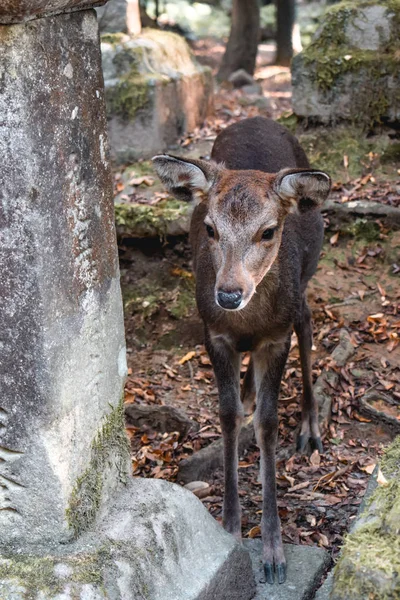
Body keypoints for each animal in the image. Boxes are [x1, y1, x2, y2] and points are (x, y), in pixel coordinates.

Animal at [152, 117, 330, 584]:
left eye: (268, 231)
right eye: (210, 228)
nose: (229, 294)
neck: (248, 321)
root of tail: (256, 118)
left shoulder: (277, 336)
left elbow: (267, 424)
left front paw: (273, 554)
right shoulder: (214, 334)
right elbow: (228, 416)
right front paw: (230, 527)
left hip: (306, 279)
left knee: (308, 323)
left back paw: (310, 428)